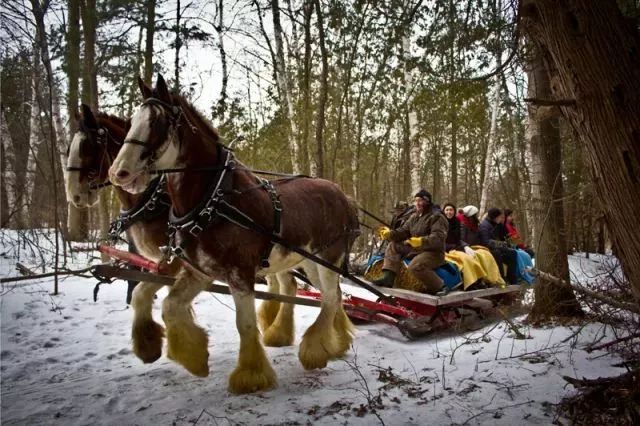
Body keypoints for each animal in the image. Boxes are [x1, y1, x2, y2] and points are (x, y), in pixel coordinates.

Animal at [110, 75, 360, 394]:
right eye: (131, 122)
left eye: (156, 122)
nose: (119, 173)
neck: (212, 201)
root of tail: (343, 195)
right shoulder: (199, 271)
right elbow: (169, 306)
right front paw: (194, 358)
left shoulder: (240, 272)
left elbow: (245, 324)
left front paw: (251, 376)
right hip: (309, 263)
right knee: (336, 295)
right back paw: (335, 344)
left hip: (328, 259)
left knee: (328, 298)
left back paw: (314, 351)